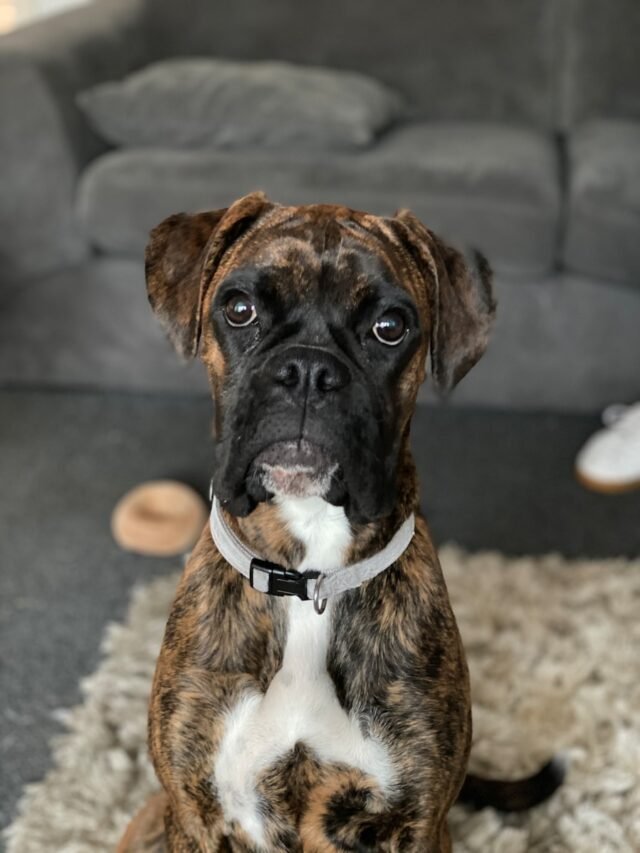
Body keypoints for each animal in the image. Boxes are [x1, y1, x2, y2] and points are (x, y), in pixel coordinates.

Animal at [117, 195, 564, 852]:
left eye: (390, 326)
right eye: (240, 309)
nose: (308, 370)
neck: (308, 578)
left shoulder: (415, 823)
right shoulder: (195, 814)